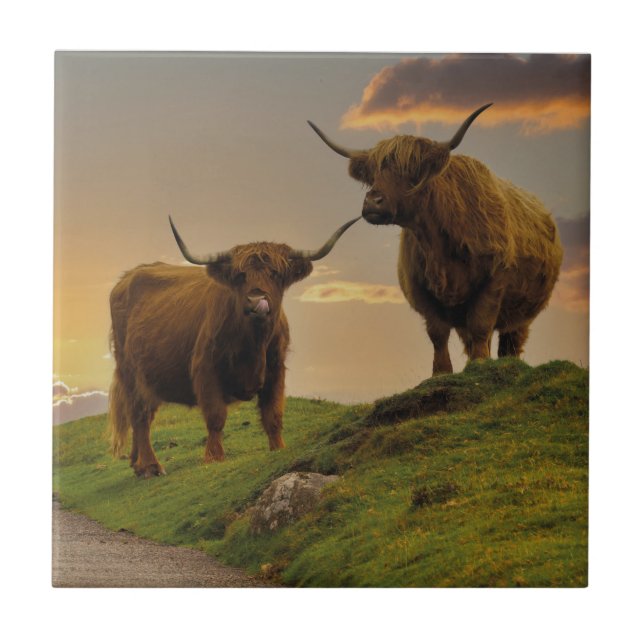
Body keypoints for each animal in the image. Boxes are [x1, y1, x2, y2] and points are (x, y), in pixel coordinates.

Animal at [108, 216, 359, 477]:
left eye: (275, 273)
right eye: (240, 275)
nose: (256, 300)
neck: (253, 344)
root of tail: (128, 276)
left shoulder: (276, 369)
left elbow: (273, 413)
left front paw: (278, 448)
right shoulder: (205, 369)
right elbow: (216, 416)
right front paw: (214, 456)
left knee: (144, 416)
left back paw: (136, 462)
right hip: (131, 373)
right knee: (139, 416)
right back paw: (149, 466)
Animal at [308, 104, 563, 375]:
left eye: (412, 170)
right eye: (374, 173)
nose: (373, 202)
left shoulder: (494, 280)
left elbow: (481, 325)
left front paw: (480, 365)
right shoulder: (421, 289)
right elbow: (438, 333)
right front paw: (441, 372)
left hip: (522, 312)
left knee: (510, 342)